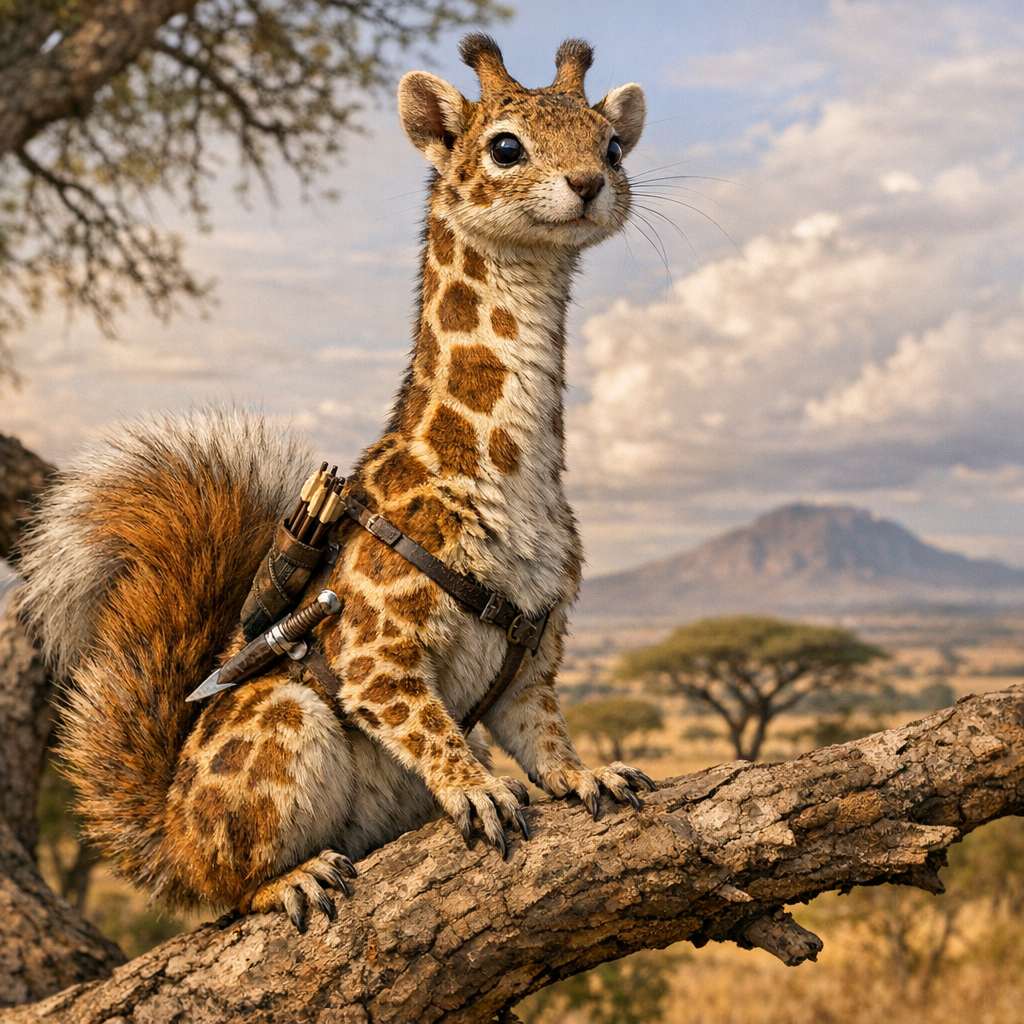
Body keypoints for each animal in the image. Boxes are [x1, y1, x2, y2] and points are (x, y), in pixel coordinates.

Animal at [19, 35, 655, 932]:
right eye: (505, 147)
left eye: (613, 147)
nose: (590, 186)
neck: (513, 473)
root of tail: (159, 835)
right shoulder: (374, 653)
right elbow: (431, 730)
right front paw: (481, 792)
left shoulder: (535, 656)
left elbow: (547, 737)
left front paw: (589, 775)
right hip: (284, 722)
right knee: (223, 887)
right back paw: (293, 879)